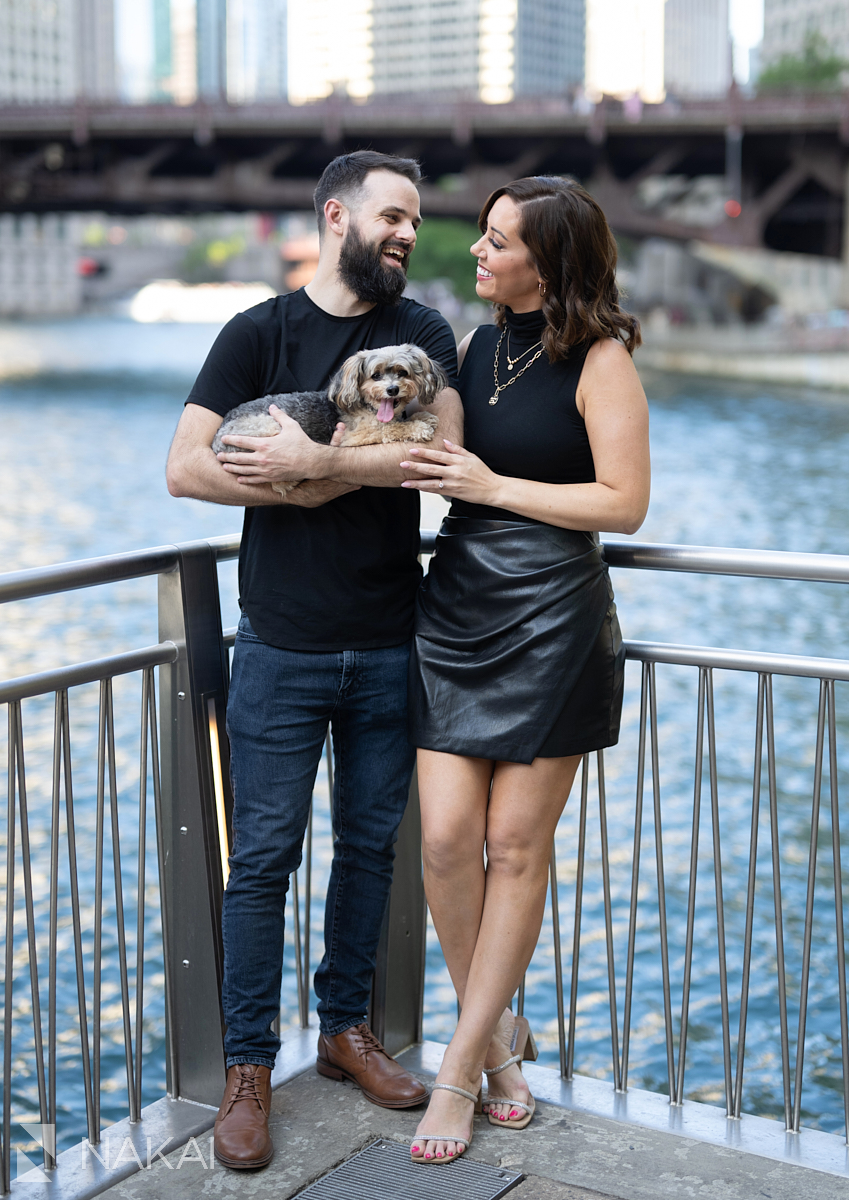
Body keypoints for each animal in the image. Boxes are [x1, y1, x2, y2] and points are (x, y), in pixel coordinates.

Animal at [211, 345, 443, 494]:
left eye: (402, 372)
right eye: (375, 375)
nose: (392, 389)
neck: (368, 407)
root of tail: (216, 441)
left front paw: (423, 416)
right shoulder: (355, 437)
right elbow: (389, 429)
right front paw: (417, 427)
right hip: (269, 429)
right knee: (279, 484)